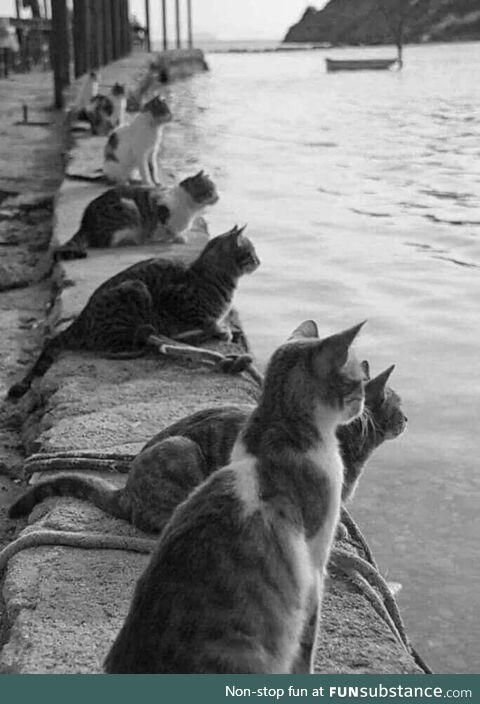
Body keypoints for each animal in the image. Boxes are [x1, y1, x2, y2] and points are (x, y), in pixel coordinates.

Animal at [7, 227, 260, 402]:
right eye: (251, 253)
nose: (259, 261)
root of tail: (80, 321)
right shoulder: (176, 300)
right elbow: (205, 320)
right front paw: (219, 329)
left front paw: (218, 329)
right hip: (135, 292)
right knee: (113, 345)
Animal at [55, 171, 219, 262]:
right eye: (210, 191)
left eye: (215, 190)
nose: (218, 197)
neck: (191, 208)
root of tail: (85, 223)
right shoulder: (162, 213)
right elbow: (169, 229)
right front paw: (177, 238)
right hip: (128, 209)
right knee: (106, 242)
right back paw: (135, 241)